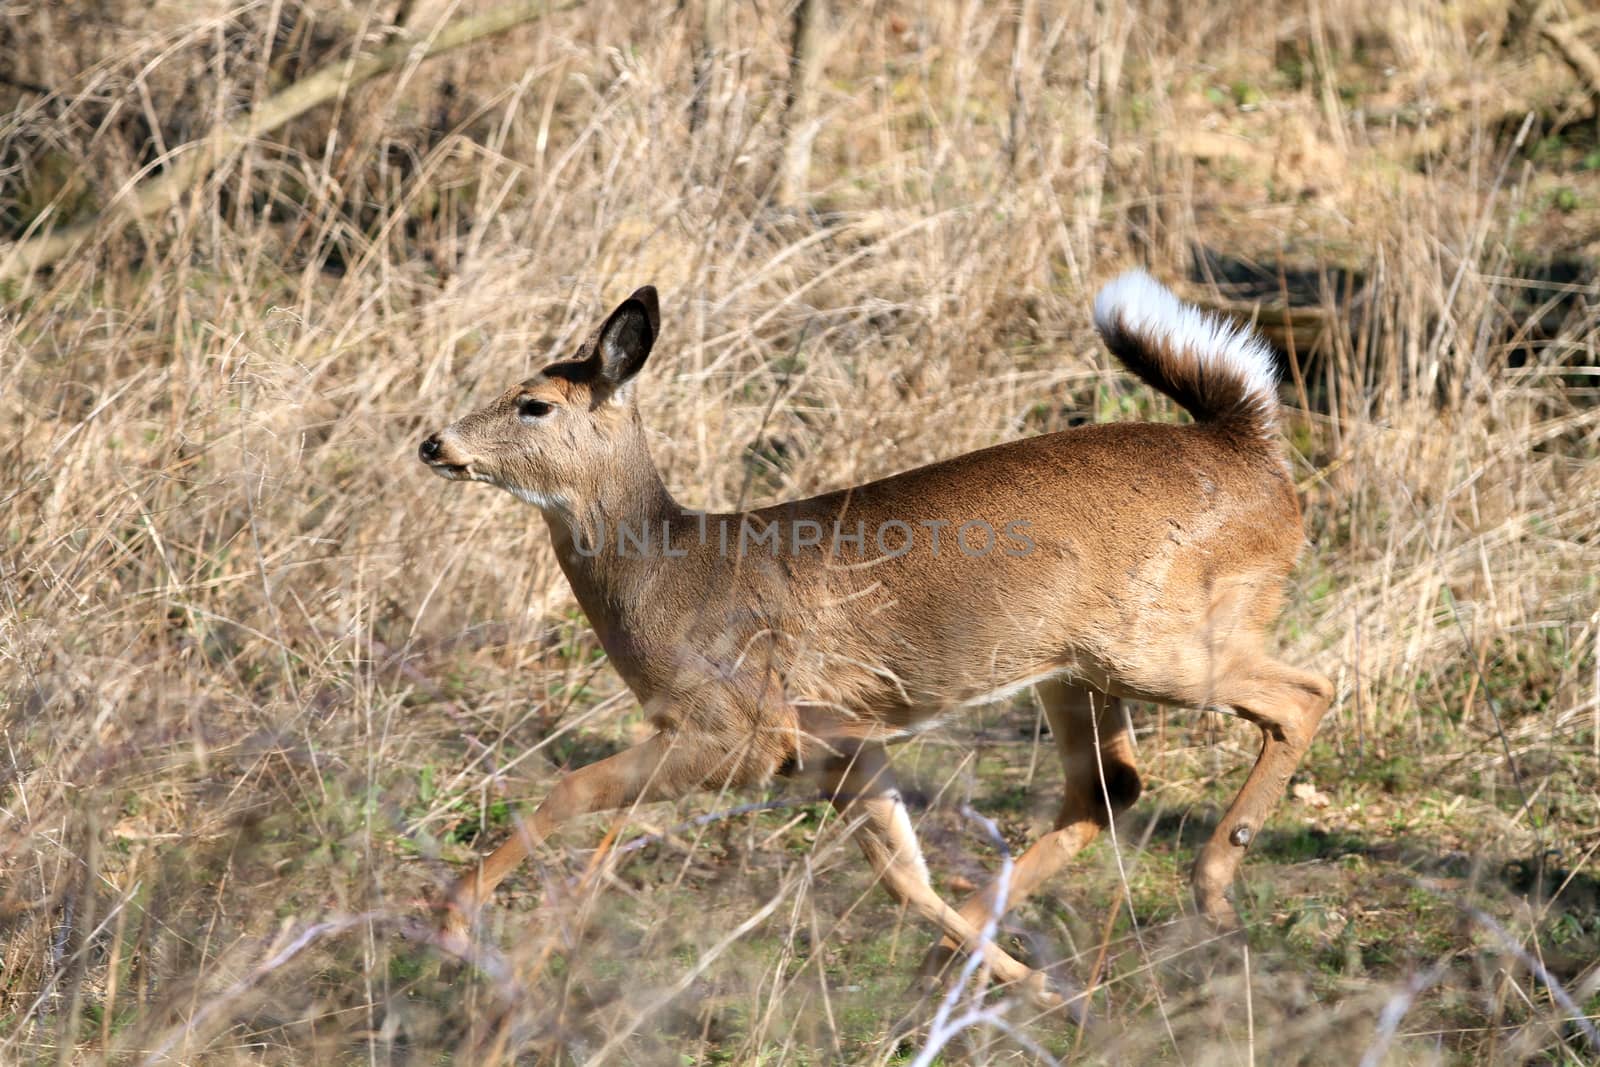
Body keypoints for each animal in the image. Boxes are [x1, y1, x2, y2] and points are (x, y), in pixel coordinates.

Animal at [419, 268, 1331, 1011]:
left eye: (533, 402)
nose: (434, 442)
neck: (670, 570)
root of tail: (1251, 448)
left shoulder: (740, 724)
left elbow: (571, 789)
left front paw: (461, 928)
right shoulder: (838, 737)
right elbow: (901, 875)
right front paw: (1039, 986)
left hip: (1155, 640)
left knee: (1304, 691)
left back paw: (1212, 889)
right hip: (1072, 669)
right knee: (1110, 785)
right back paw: (966, 960)